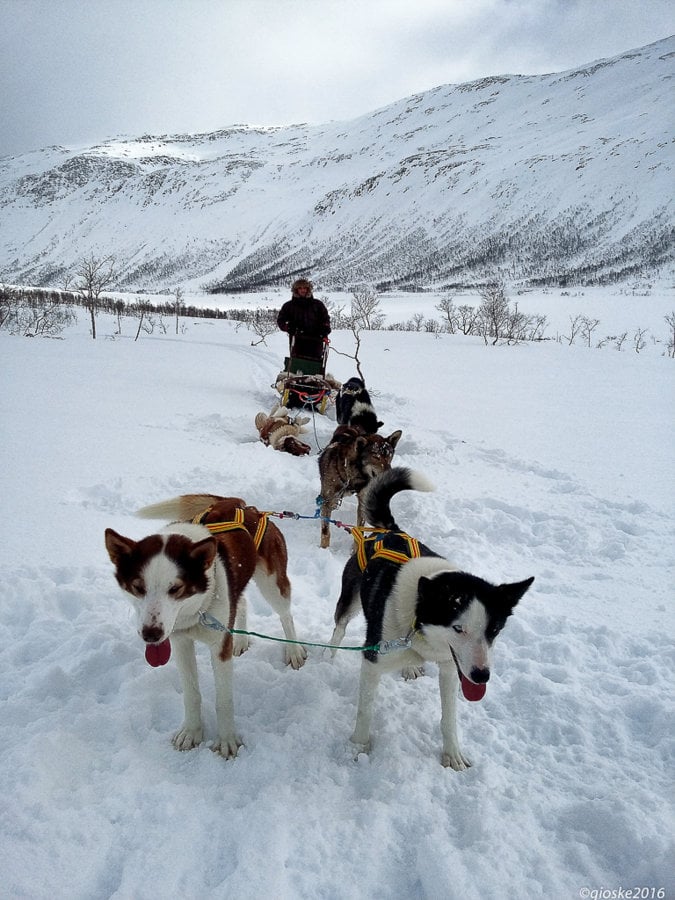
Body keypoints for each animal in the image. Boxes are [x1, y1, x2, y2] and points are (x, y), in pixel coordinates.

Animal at [104, 494, 306, 759]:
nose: (151, 634)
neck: (194, 613)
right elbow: (191, 694)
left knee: (285, 615)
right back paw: (241, 641)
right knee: (241, 603)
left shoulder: (219, 647)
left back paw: (293, 651)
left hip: (273, 585)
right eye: (138, 587)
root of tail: (242, 504)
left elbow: (224, 700)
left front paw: (227, 740)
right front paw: (191, 732)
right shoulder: (180, 643)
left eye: (175, 588)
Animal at [329, 468, 534, 769]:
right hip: (350, 600)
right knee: (340, 626)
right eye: (458, 628)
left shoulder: (451, 668)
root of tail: (391, 530)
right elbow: (365, 712)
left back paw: (411, 667)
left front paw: (452, 754)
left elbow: (449, 719)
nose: (482, 676)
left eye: (494, 630)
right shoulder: (373, 660)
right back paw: (328, 656)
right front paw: (357, 747)